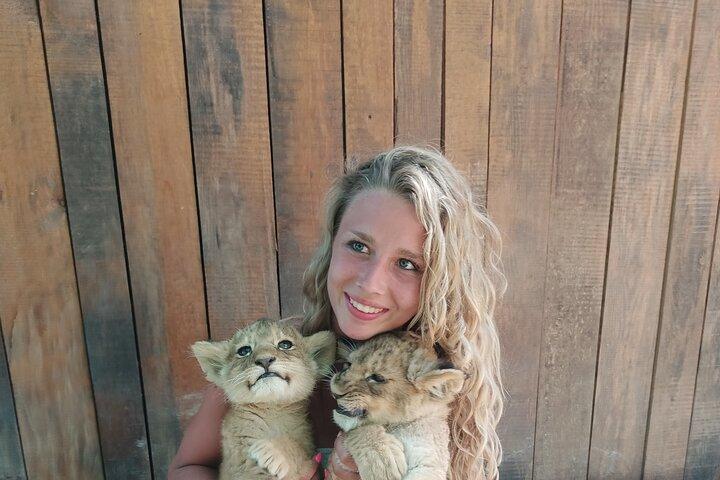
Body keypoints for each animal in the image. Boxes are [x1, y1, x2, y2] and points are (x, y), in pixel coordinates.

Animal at [192, 318, 335, 480]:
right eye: (244, 351)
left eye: (285, 344)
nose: (265, 360)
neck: (272, 409)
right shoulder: (239, 461)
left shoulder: (309, 453)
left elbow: (298, 449)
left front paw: (270, 452)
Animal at [329, 332, 466, 480]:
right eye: (348, 365)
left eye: (377, 378)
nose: (335, 394)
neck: (398, 425)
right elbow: (358, 429)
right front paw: (381, 460)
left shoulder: (430, 463)